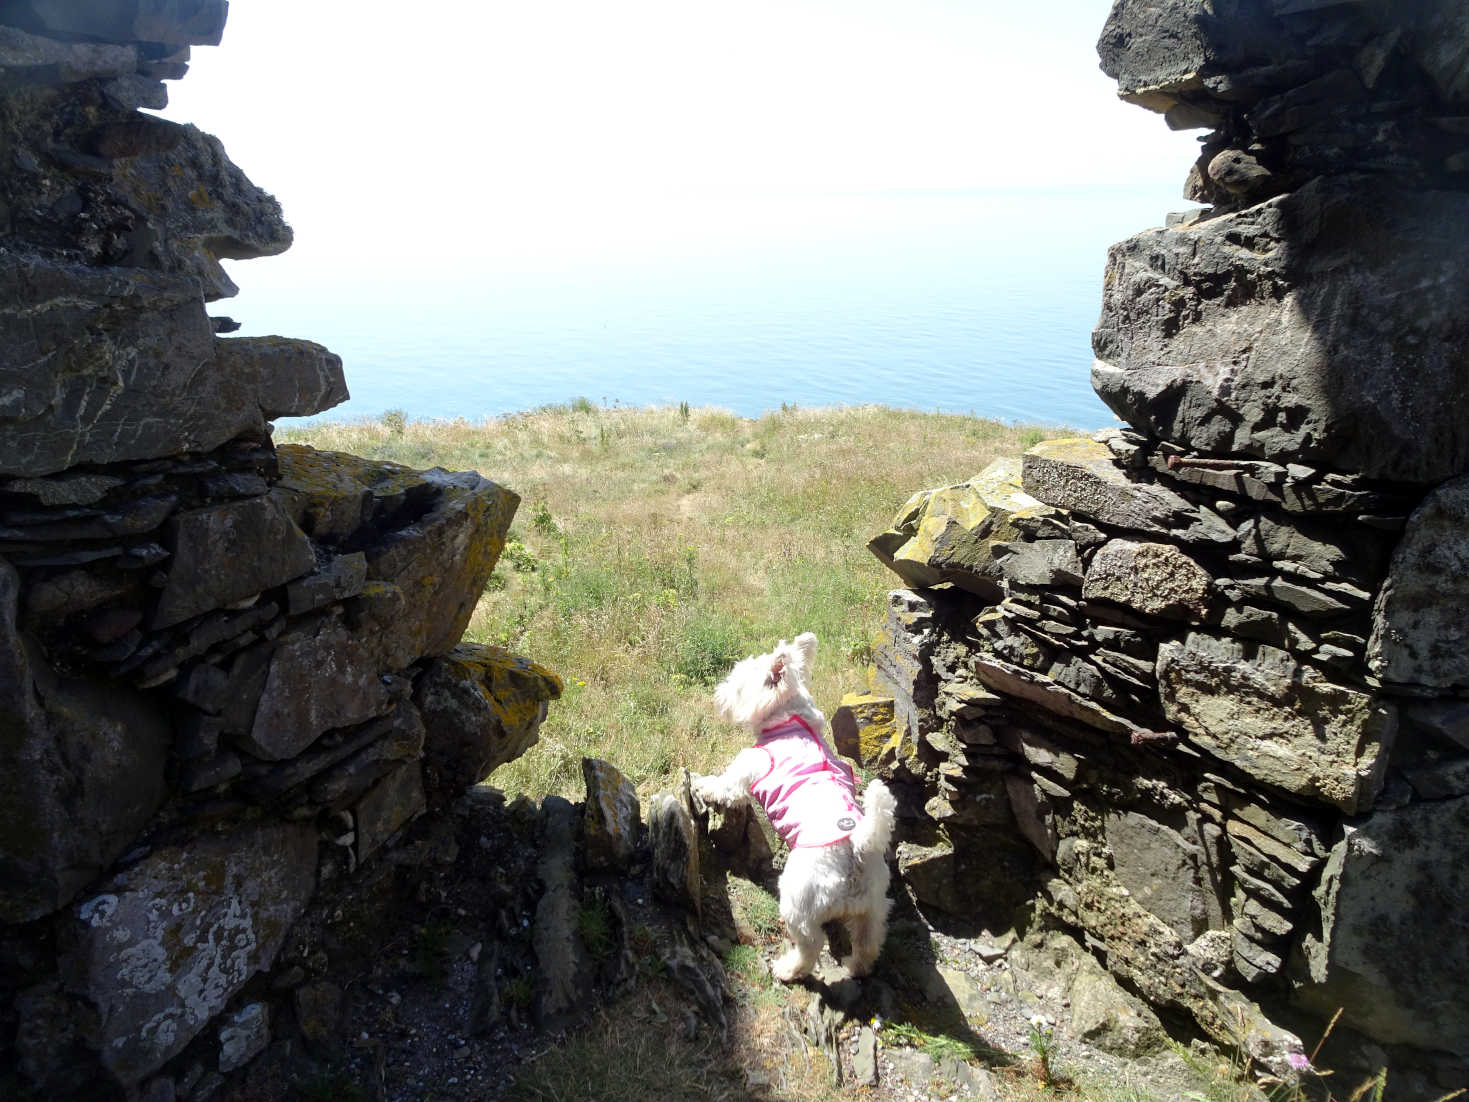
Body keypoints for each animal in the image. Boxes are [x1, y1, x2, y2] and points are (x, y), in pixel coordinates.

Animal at [696, 637, 893, 981]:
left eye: (737, 684)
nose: (718, 693)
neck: (789, 720)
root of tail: (858, 845)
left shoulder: (747, 767)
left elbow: (724, 785)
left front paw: (702, 784)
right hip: (874, 906)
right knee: (868, 942)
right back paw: (856, 966)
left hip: (798, 900)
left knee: (811, 944)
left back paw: (788, 969)